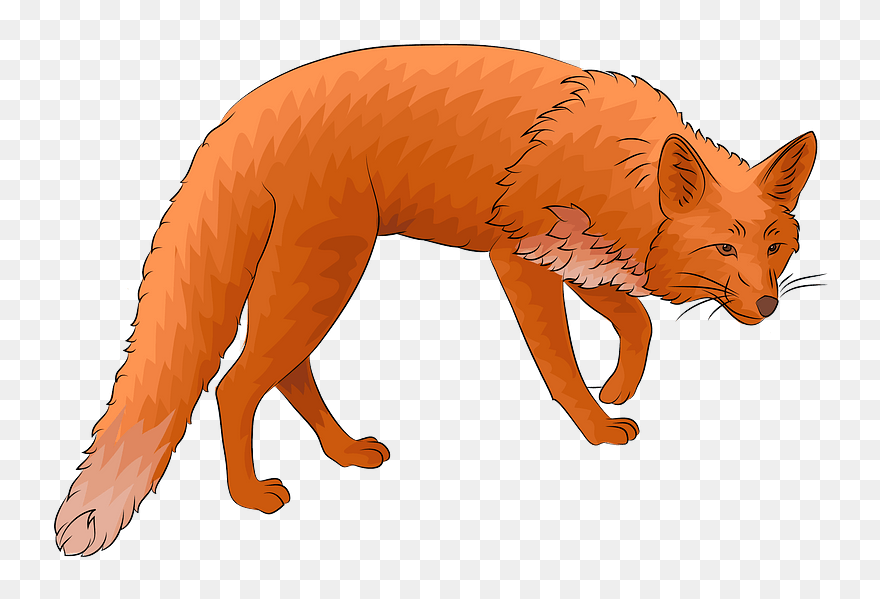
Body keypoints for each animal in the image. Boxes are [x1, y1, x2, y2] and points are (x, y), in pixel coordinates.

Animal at [55, 44, 817, 556]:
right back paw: (250, 496)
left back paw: (345, 452)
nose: (768, 305)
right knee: (236, 384)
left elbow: (636, 319)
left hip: (313, 280)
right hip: (323, 274)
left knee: (287, 374)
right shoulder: (520, 257)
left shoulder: (577, 257)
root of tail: (238, 117)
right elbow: (562, 365)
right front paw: (597, 424)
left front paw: (620, 386)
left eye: (775, 246)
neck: (615, 162)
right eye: (724, 250)